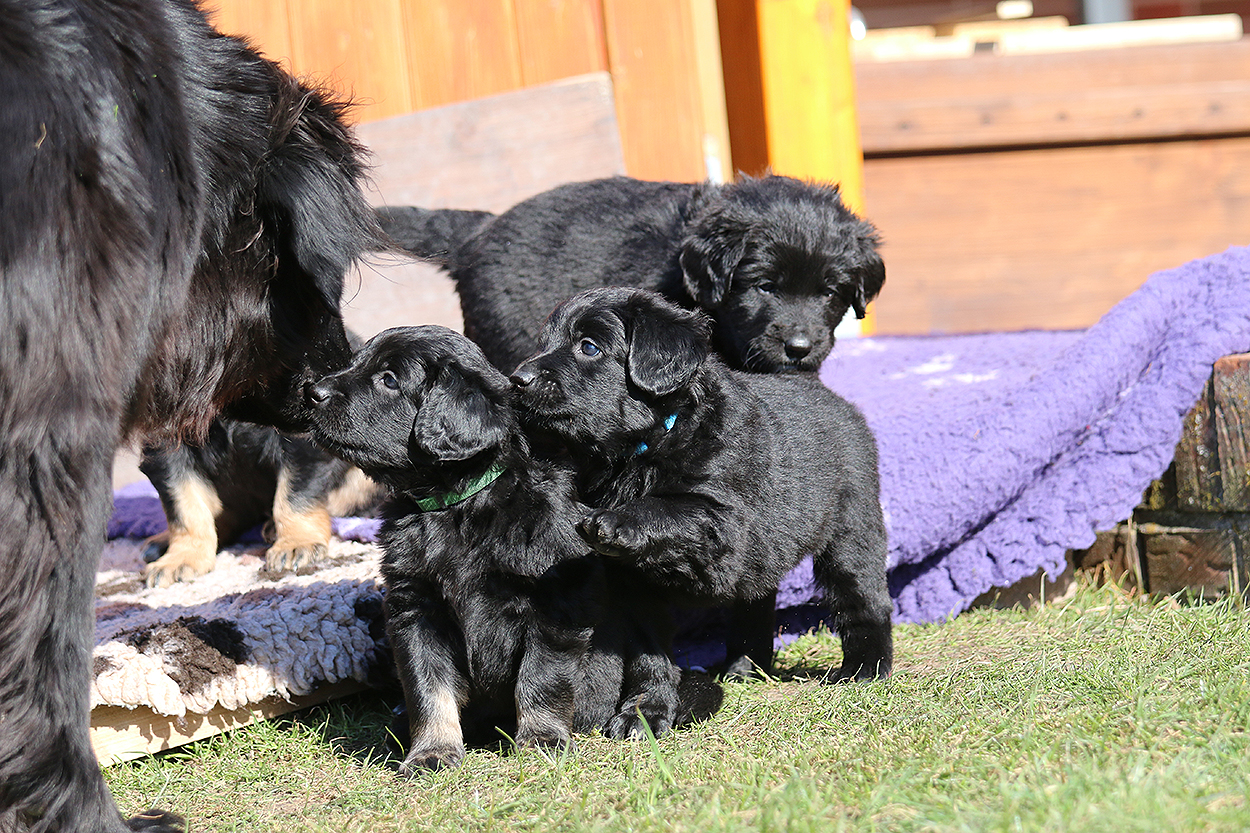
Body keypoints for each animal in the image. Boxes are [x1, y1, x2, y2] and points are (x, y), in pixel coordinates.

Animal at [305, 326, 723, 773]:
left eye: (389, 379)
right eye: (354, 363)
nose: (312, 392)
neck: (460, 504)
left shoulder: (555, 603)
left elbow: (541, 677)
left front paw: (542, 738)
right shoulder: (415, 609)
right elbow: (427, 688)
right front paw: (432, 751)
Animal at [511, 287, 893, 705]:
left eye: (589, 346)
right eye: (544, 343)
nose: (516, 379)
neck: (649, 442)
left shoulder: (722, 523)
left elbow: (669, 507)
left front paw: (617, 519)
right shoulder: (634, 584)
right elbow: (647, 647)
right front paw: (645, 708)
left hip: (853, 526)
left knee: (864, 599)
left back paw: (866, 669)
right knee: (754, 607)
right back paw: (743, 669)